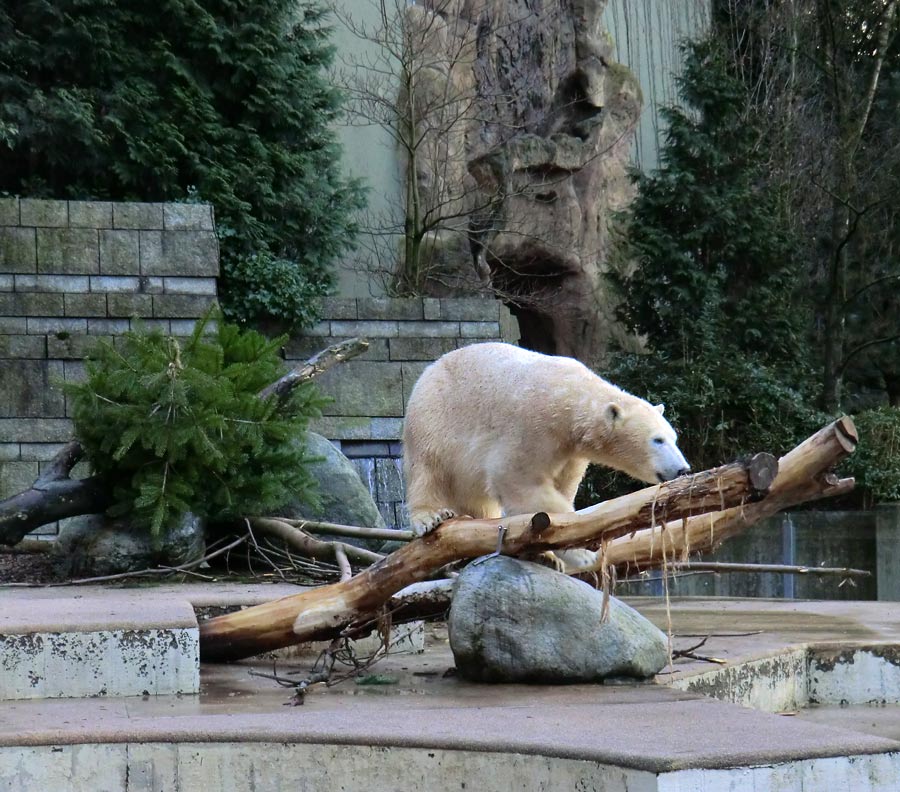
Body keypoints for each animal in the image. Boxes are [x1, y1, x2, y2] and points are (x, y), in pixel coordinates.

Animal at [404, 340, 692, 568]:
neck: (570, 399)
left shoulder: (571, 452)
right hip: (435, 417)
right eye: (657, 440)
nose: (683, 469)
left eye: (674, 438)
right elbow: (519, 480)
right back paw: (430, 516)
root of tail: (429, 369)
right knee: (428, 468)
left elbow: (562, 487)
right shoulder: (531, 425)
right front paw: (581, 554)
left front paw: (549, 554)